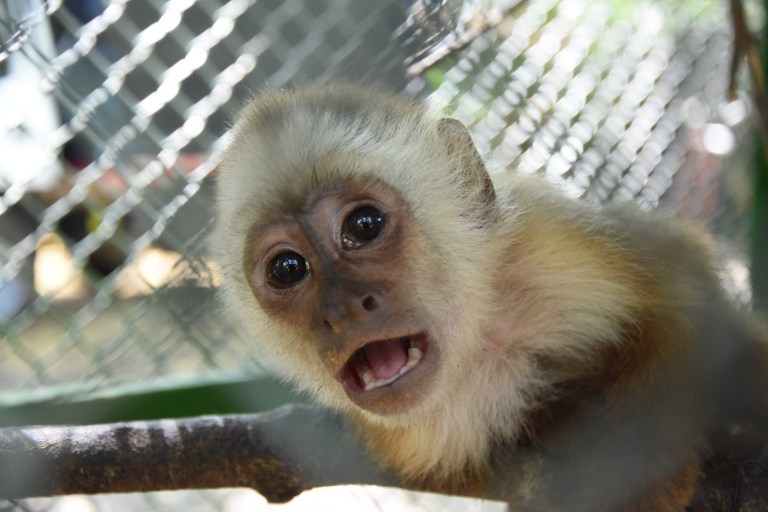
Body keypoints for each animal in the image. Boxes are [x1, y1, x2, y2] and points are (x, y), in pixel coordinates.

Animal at [212, 83, 768, 511]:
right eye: (287, 269)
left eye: (363, 225)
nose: (343, 310)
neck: (480, 345)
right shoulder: (416, 443)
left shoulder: (553, 246)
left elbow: (682, 299)